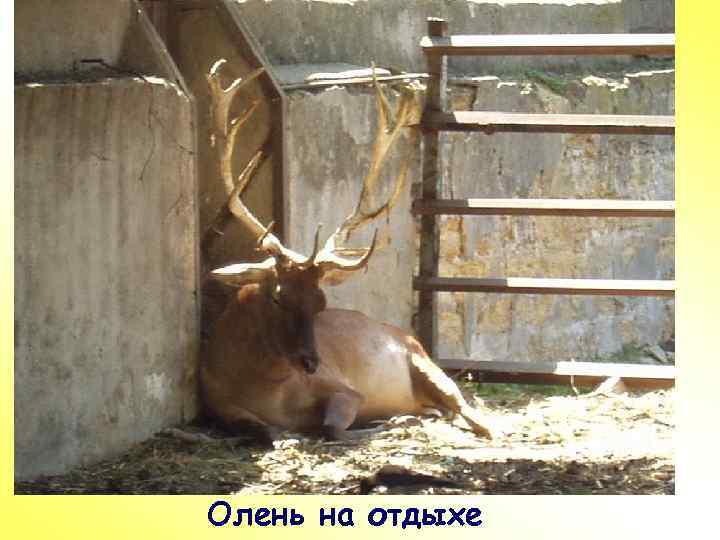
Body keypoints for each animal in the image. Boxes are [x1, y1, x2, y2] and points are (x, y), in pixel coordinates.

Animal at [199, 60, 494, 443]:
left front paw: (369, 426)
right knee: (437, 410)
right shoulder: (217, 404)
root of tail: (408, 335)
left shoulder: (345, 389)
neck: (264, 388)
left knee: (466, 408)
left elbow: (331, 427)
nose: (310, 362)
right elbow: (261, 431)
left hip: (426, 364)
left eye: (321, 303)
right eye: (277, 296)